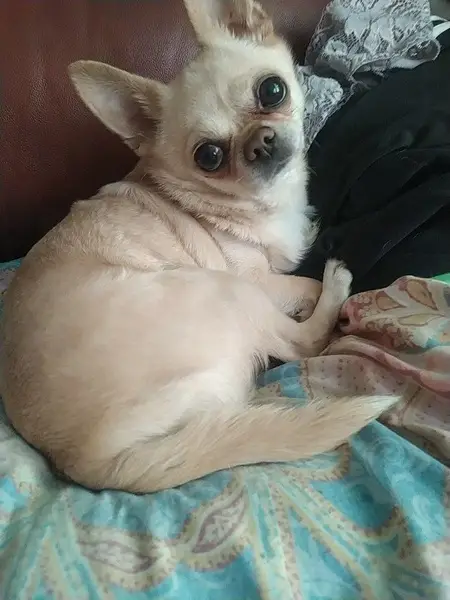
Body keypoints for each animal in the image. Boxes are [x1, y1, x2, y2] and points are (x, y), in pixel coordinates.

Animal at [0, 0, 394, 493]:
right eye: (209, 157)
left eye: (273, 90)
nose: (260, 142)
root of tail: (85, 461)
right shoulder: (258, 279)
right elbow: (300, 284)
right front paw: (315, 281)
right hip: (220, 288)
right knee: (301, 342)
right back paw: (336, 283)